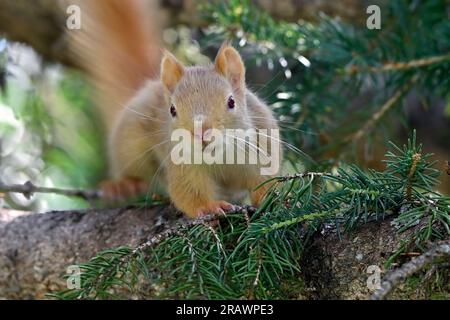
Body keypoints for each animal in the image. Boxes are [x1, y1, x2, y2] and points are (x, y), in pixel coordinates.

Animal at [67, 0, 282, 218]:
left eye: (231, 102)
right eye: (172, 110)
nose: (201, 133)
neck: (219, 157)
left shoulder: (264, 144)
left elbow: (267, 180)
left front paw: (273, 199)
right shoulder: (180, 163)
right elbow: (187, 192)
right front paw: (210, 207)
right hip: (130, 142)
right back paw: (123, 185)